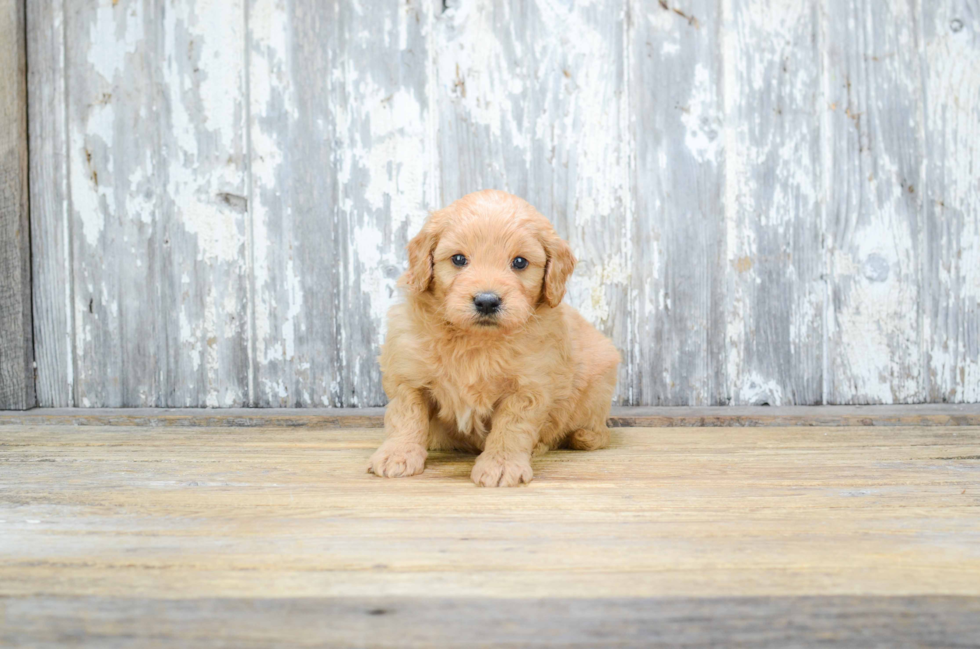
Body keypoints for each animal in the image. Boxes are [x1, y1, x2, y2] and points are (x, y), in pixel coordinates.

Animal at [368, 190, 620, 484]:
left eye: (519, 262)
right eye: (458, 259)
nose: (487, 301)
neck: (476, 340)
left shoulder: (528, 387)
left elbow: (511, 428)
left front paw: (501, 464)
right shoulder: (408, 371)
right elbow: (406, 416)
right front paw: (397, 454)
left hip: (600, 384)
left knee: (597, 432)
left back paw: (576, 436)